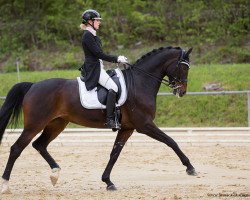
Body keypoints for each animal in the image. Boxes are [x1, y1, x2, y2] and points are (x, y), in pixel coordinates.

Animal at [0, 45, 196, 192]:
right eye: (183, 67)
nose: (182, 91)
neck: (140, 82)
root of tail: (33, 86)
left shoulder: (127, 128)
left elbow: (114, 153)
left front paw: (108, 181)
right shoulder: (144, 125)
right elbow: (171, 141)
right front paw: (190, 167)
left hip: (57, 123)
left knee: (39, 144)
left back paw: (55, 174)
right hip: (35, 124)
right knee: (16, 148)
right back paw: (6, 185)